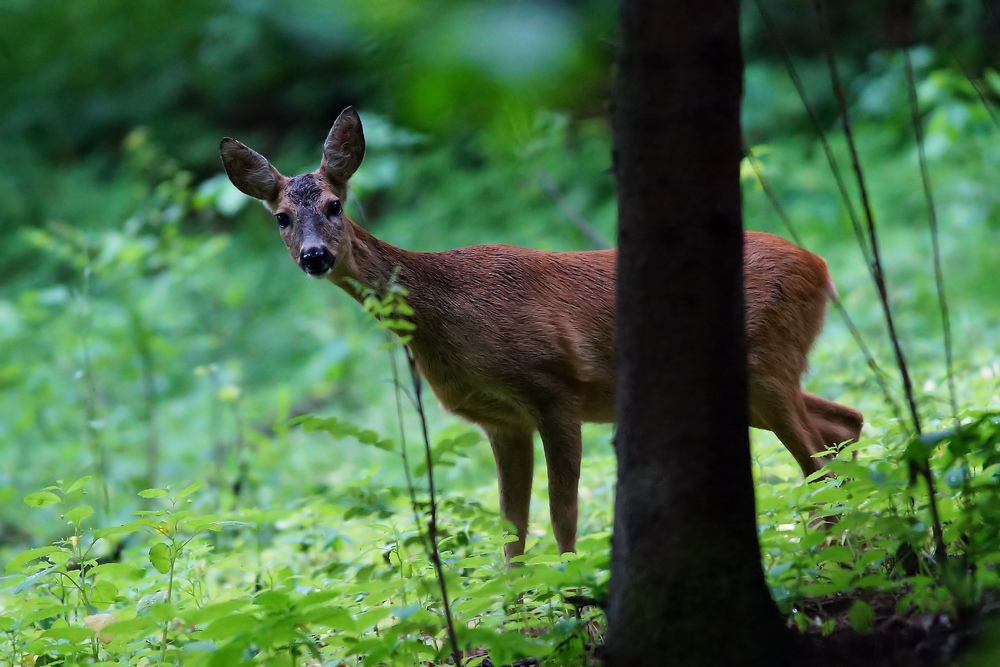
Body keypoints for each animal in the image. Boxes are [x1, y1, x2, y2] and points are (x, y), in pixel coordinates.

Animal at [219, 107, 860, 560]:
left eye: (333, 204)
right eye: (281, 217)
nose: (315, 256)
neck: (449, 315)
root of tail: (821, 265)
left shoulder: (557, 388)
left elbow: (562, 516)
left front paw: (572, 599)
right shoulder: (502, 421)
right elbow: (512, 533)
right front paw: (516, 614)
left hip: (764, 362)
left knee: (818, 457)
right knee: (842, 423)